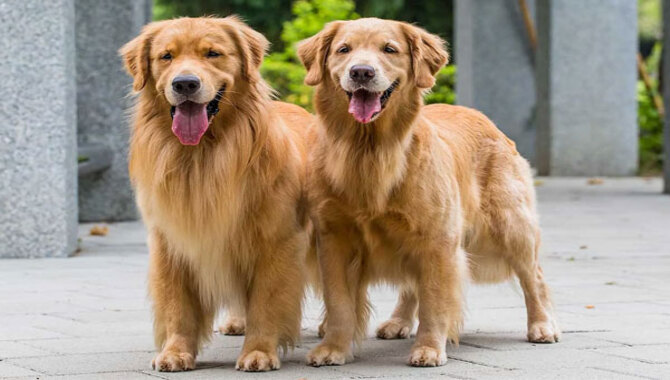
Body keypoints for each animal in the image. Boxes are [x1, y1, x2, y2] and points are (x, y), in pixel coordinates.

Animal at [121, 17, 316, 372]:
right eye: (166, 56)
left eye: (212, 53)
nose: (185, 83)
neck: (203, 157)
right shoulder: (170, 242)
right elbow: (177, 305)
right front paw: (175, 351)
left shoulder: (277, 240)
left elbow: (266, 301)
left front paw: (259, 351)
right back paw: (236, 322)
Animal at [300, 18, 560, 368]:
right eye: (344, 49)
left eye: (389, 49)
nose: (361, 72)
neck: (369, 150)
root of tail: (483, 117)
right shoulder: (334, 239)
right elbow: (339, 302)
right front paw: (333, 348)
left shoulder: (438, 239)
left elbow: (435, 300)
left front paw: (429, 349)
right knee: (412, 285)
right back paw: (398, 321)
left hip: (511, 227)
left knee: (535, 277)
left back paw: (542, 325)